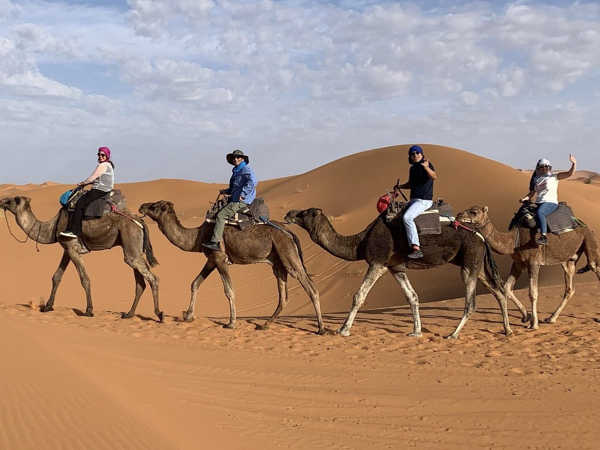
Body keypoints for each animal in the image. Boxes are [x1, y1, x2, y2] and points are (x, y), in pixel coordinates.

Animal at [0, 196, 163, 320]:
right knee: (140, 282)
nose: (2, 200)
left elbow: (85, 279)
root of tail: (141, 222)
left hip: (130, 241)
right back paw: (129, 314)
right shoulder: (67, 249)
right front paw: (47, 306)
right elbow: (56, 276)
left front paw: (89, 310)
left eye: (14, 200)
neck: (51, 227)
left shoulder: (73, 249)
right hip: (132, 248)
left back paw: (159, 314)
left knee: (152, 277)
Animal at [138, 200, 326, 334]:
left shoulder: (220, 258)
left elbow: (229, 290)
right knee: (283, 296)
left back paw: (321, 329)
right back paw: (264, 325)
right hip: (279, 262)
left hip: (288, 253)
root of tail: (291, 233)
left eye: (156, 206)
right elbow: (195, 283)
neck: (197, 236)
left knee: (311, 288)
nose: (141, 206)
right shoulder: (211, 260)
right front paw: (188, 316)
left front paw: (231, 323)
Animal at [284, 207, 512, 338]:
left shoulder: (378, 262)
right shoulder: (395, 266)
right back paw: (507, 330)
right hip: (476, 264)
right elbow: (412, 296)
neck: (360, 242)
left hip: (469, 261)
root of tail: (481, 237)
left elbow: (359, 295)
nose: (288, 214)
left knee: (471, 302)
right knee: (498, 291)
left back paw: (452, 334)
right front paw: (417, 331)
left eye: (305, 213)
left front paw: (343, 329)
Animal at [454, 206, 600, 328]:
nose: (458, 215)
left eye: (474, 212)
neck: (514, 239)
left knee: (594, 266)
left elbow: (532, 293)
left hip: (589, 241)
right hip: (568, 260)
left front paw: (533, 324)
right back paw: (551, 318)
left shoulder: (533, 262)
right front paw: (526, 316)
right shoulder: (518, 264)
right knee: (570, 288)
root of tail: (586, 226)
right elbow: (507, 288)